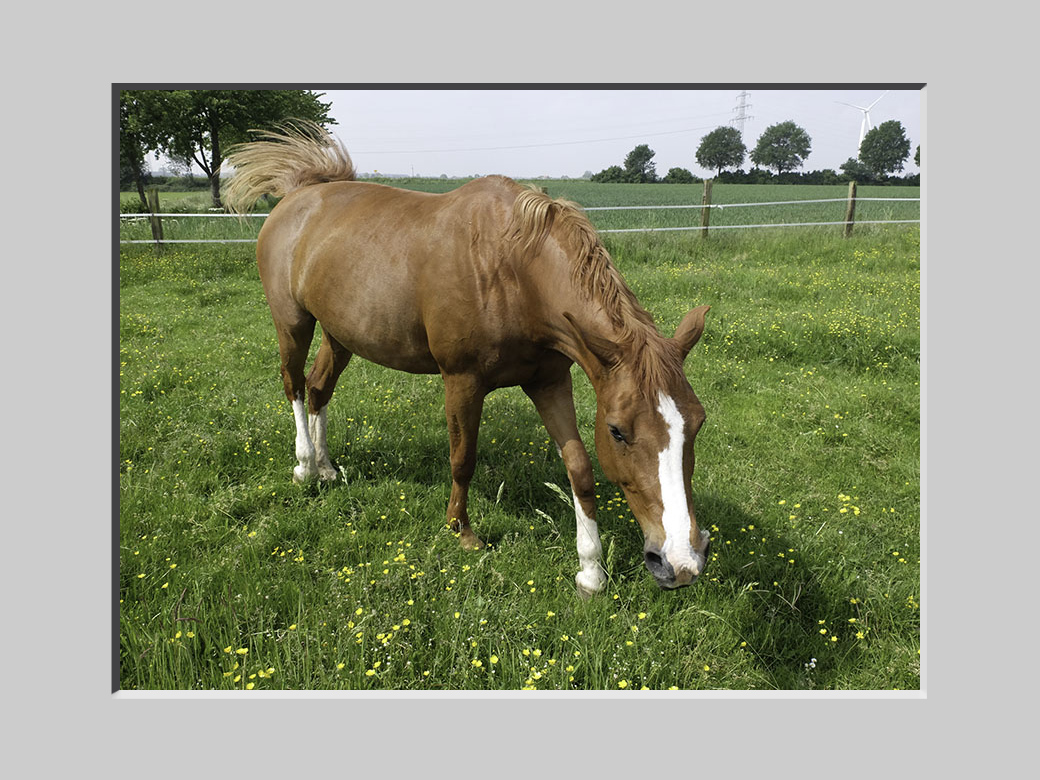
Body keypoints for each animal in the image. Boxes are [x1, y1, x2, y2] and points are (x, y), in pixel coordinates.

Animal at [224, 120, 712, 595]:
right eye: (617, 431)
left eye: (698, 422)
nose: (680, 563)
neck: (512, 269)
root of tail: (298, 194)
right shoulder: (461, 380)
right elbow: (463, 458)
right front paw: (461, 531)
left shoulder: (549, 381)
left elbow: (578, 467)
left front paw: (590, 572)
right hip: (293, 323)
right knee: (293, 384)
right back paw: (305, 466)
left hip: (339, 333)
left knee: (319, 387)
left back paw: (327, 467)